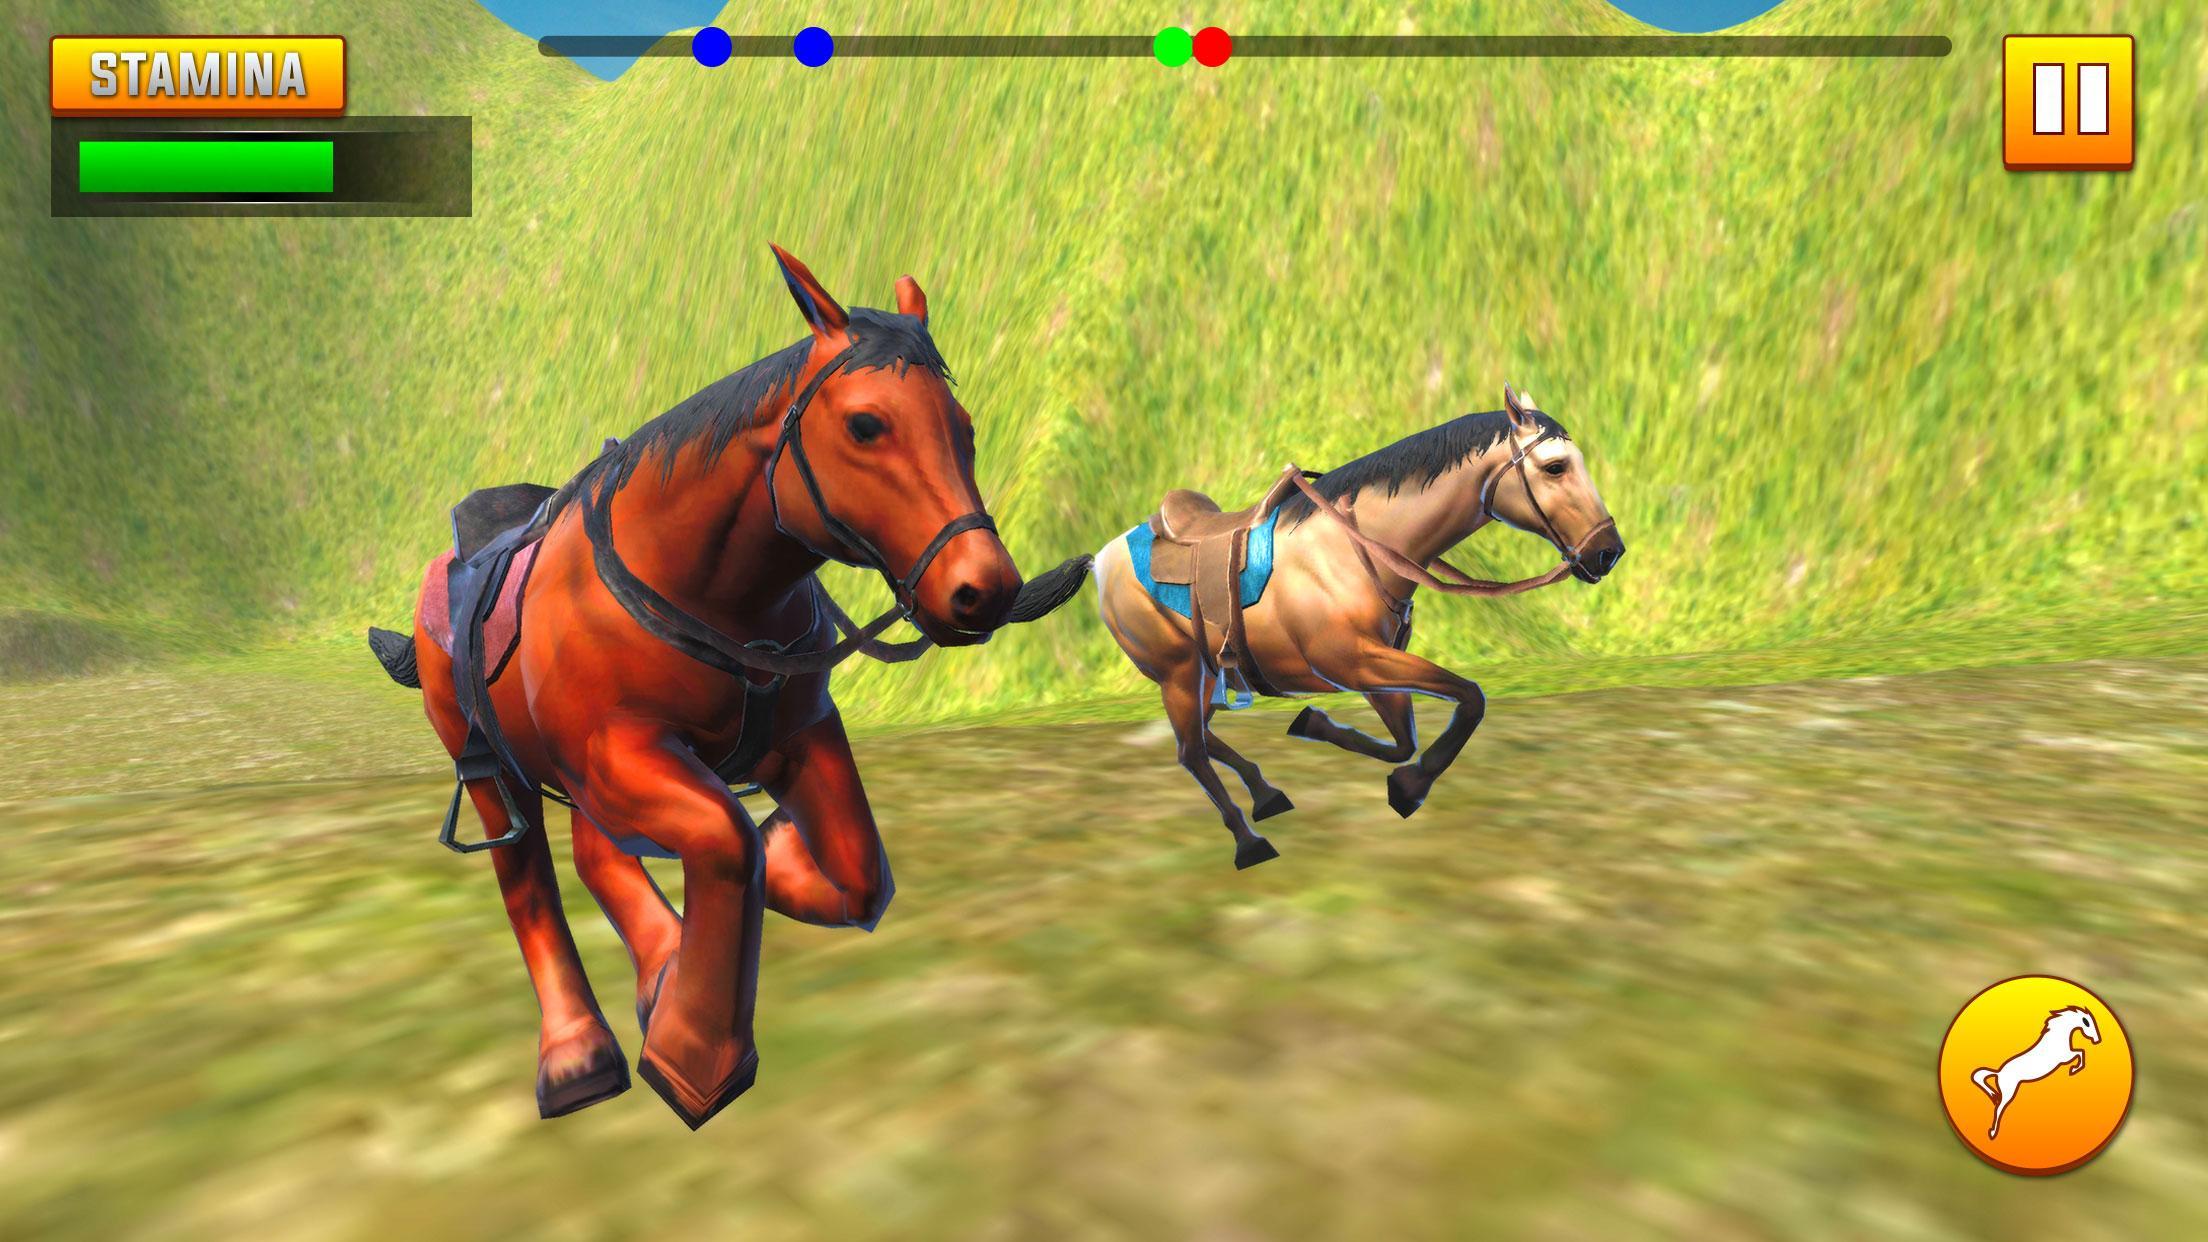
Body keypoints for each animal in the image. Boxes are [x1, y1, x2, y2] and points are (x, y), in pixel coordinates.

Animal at [367, 245, 1087, 1128]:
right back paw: (577, 1055)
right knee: (529, 880)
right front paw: (695, 1052)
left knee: (596, 851)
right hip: (492, 769)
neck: (710, 589)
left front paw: (757, 885)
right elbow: (724, 838)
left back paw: (658, 967)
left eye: (966, 430)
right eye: (866, 425)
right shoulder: (620, 754)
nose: (982, 589)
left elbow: (857, 871)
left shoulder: (798, 735)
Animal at [1094, 385, 1625, 868]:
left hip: (1202, 675)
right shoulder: (1352, 663)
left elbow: (1405, 740)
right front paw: (1410, 787)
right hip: (1178, 676)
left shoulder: (1375, 669)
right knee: (1192, 753)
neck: (1358, 546)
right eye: (1555, 467)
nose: (1609, 552)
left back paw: (1266, 793)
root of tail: (1101, 556)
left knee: (1202, 740)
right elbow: (1470, 699)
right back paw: (1249, 843)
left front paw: (1318, 727)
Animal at [1972, 1006, 2101, 1139]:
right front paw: (2073, 1069)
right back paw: (1993, 1132)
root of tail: (1999, 1073)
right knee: (1999, 1108)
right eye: (2088, 1023)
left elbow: (2080, 1052)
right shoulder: (2064, 1058)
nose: (2097, 1040)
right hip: (2008, 1092)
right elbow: (2080, 1052)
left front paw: (2074, 1068)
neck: (2057, 1039)